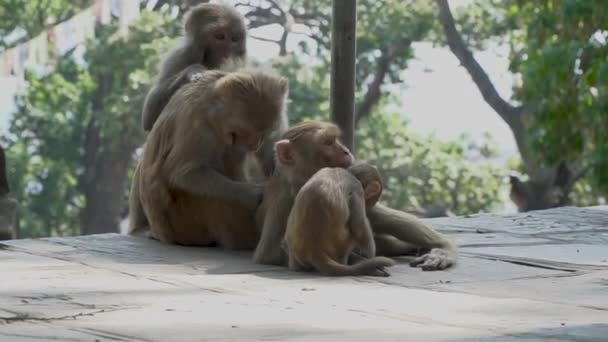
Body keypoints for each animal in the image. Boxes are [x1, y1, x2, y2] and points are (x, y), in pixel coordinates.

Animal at [138, 68, 290, 247]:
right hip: (184, 226)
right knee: (210, 195)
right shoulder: (197, 125)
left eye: (264, 132)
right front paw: (253, 194)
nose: (255, 145)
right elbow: (182, 172)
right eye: (248, 130)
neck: (212, 113)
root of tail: (161, 234)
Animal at [142, 2, 247, 133]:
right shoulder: (179, 56)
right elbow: (149, 118)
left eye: (235, 39)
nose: (227, 53)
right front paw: (194, 71)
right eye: (220, 36)